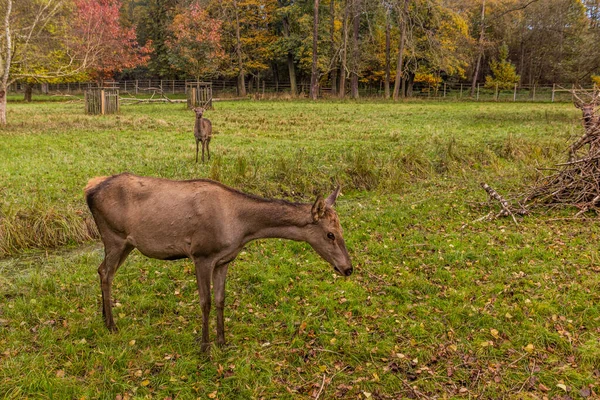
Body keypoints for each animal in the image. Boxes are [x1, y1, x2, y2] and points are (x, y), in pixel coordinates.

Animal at [86, 173, 354, 352]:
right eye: (330, 234)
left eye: (342, 229)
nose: (348, 268)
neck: (241, 228)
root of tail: (89, 190)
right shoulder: (202, 254)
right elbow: (204, 302)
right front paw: (205, 346)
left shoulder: (224, 260)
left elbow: (220, 300)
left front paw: (222, 341)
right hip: (114, 236)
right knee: (106, 272)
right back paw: (111, 324)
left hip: (126, 243)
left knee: (102, 270)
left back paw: (104, 318)